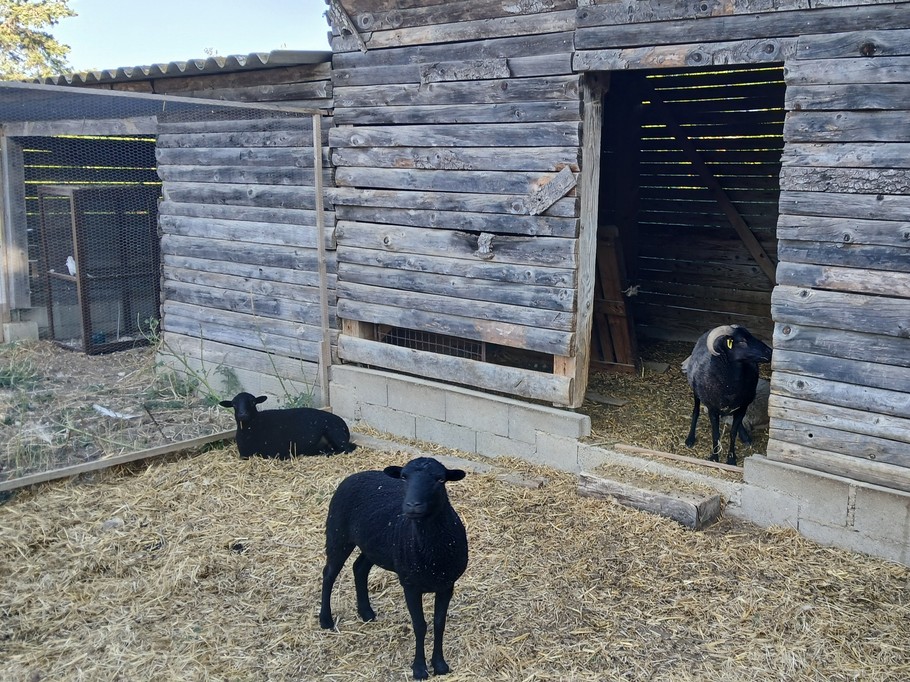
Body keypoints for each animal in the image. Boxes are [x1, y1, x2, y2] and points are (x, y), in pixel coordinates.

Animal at [218, 392, 356, 459]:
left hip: (335, 434)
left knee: (347, 449)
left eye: (253, 402)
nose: (243, 414)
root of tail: (344, 425)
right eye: (234, 404)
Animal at [319, 457, 468, 680]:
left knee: (359, 567)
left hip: (373, 545)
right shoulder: (410, 586)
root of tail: (356, 475)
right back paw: (326, 620)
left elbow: (439, 623)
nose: (412, 505)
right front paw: (419, 669)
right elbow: (420, 626)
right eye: (404, 477)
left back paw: (366, 612)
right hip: (338, 533)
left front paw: (440, 666)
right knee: (328, 573)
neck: (432, 554)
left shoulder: (446, 584)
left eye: (440, 479)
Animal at [681, 324, 772, 465]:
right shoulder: (712, 409)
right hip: (696, 392)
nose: (770, 352)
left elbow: (733, 433)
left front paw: (731, 458)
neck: (730, 385)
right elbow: (715, 434)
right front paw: (714, 457)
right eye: (742, 341)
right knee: (695, 411)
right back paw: (690, 438)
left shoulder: (742, 407)